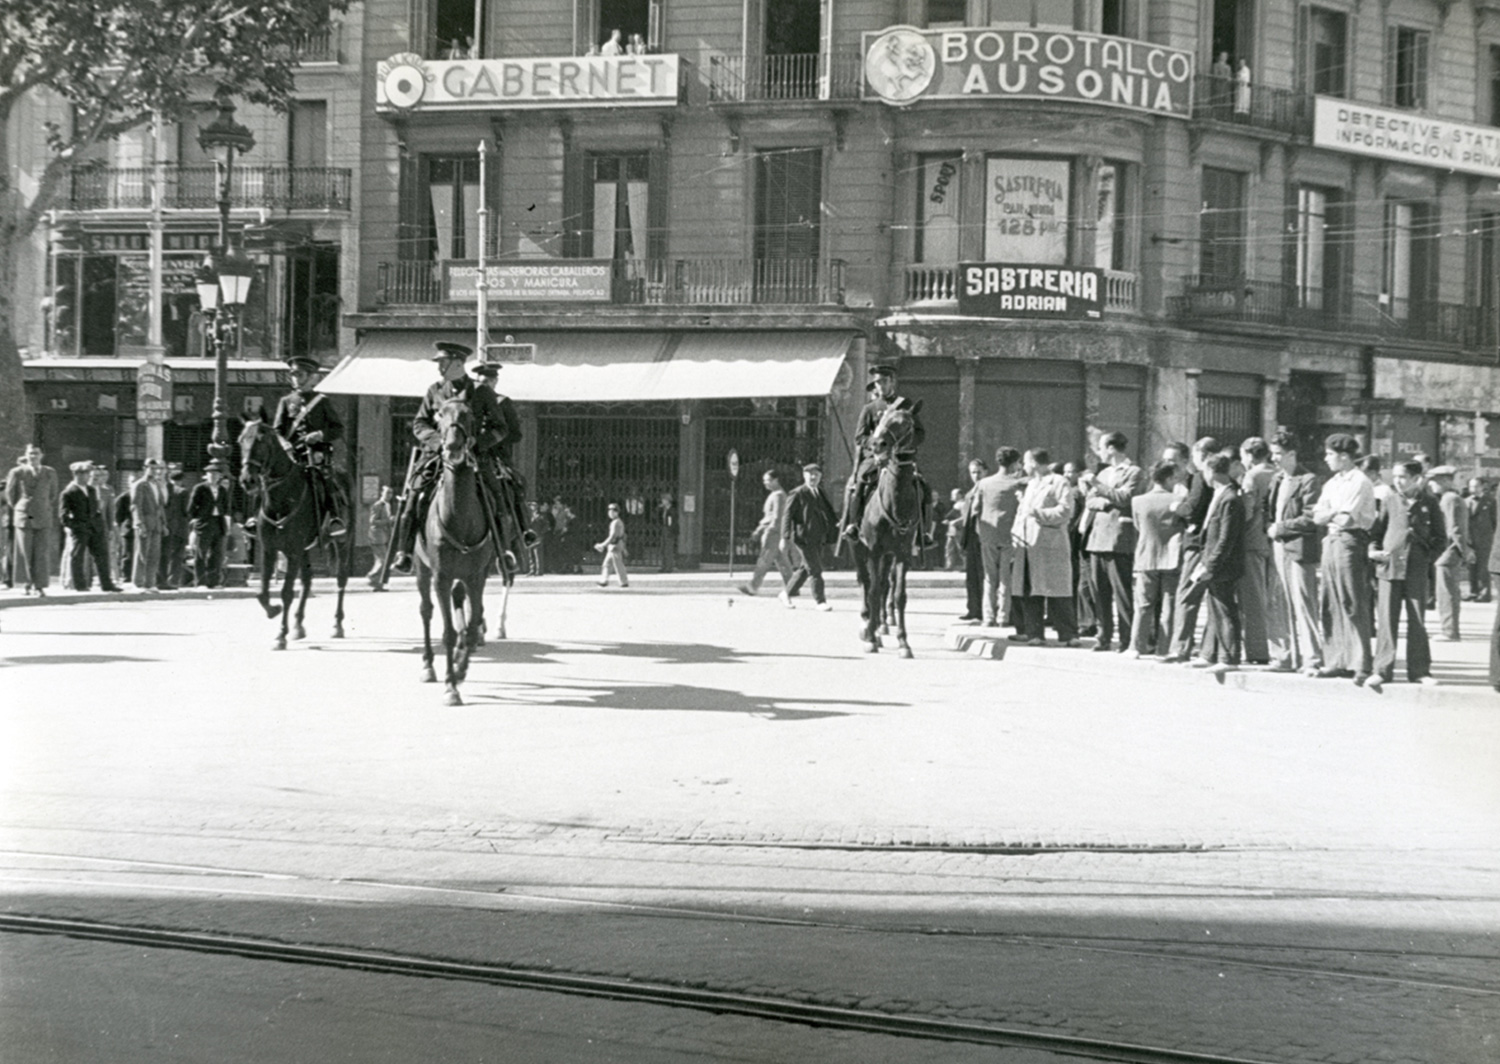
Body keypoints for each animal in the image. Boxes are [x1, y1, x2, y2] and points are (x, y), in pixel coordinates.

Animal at [240, 414, 351, 648]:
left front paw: (280, 635)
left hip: (342, 541)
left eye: (261, 441)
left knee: (341, 578)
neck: (281, 498)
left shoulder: (292, 552)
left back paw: (337, 625)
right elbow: (262, 592)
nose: (247, 480)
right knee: (307, 580)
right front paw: (273, 611)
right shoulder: (269, 549)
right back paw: (299, 625)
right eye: (241, 440)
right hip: (305, 550)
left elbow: (286, 592)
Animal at [417, 393, 498, 702]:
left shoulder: (476, 576)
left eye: (470, 414)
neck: (459, 516)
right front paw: (451, 686)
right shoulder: (440, 576)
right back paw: (428, 665)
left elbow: (473, 625)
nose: (452, 447)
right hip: (421, 570)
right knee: (426, 611)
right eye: (439, 414)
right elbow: (449, 631)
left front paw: (461, 669)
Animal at [858, 405, 924, 660]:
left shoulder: (902, 553)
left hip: (888, 556)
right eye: (881, 419)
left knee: (885, 585)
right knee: (867, 584)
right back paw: (869, 626)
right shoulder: (873, 550)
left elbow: (898, 595)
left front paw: (904, 642)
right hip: (861, 549)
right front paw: (870, 637)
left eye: (906, 423)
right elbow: (874, 591)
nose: (878, 444)